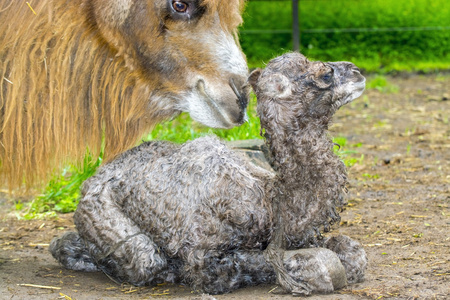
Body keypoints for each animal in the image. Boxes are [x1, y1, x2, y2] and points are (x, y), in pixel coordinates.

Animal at [50, 52, 366, 296]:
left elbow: (352, 252)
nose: (357, 71)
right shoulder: (205, 256)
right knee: (137, 258)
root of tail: (89, 181)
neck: (271, 202)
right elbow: (250, 265)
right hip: (105, 216)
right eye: (324, 75)